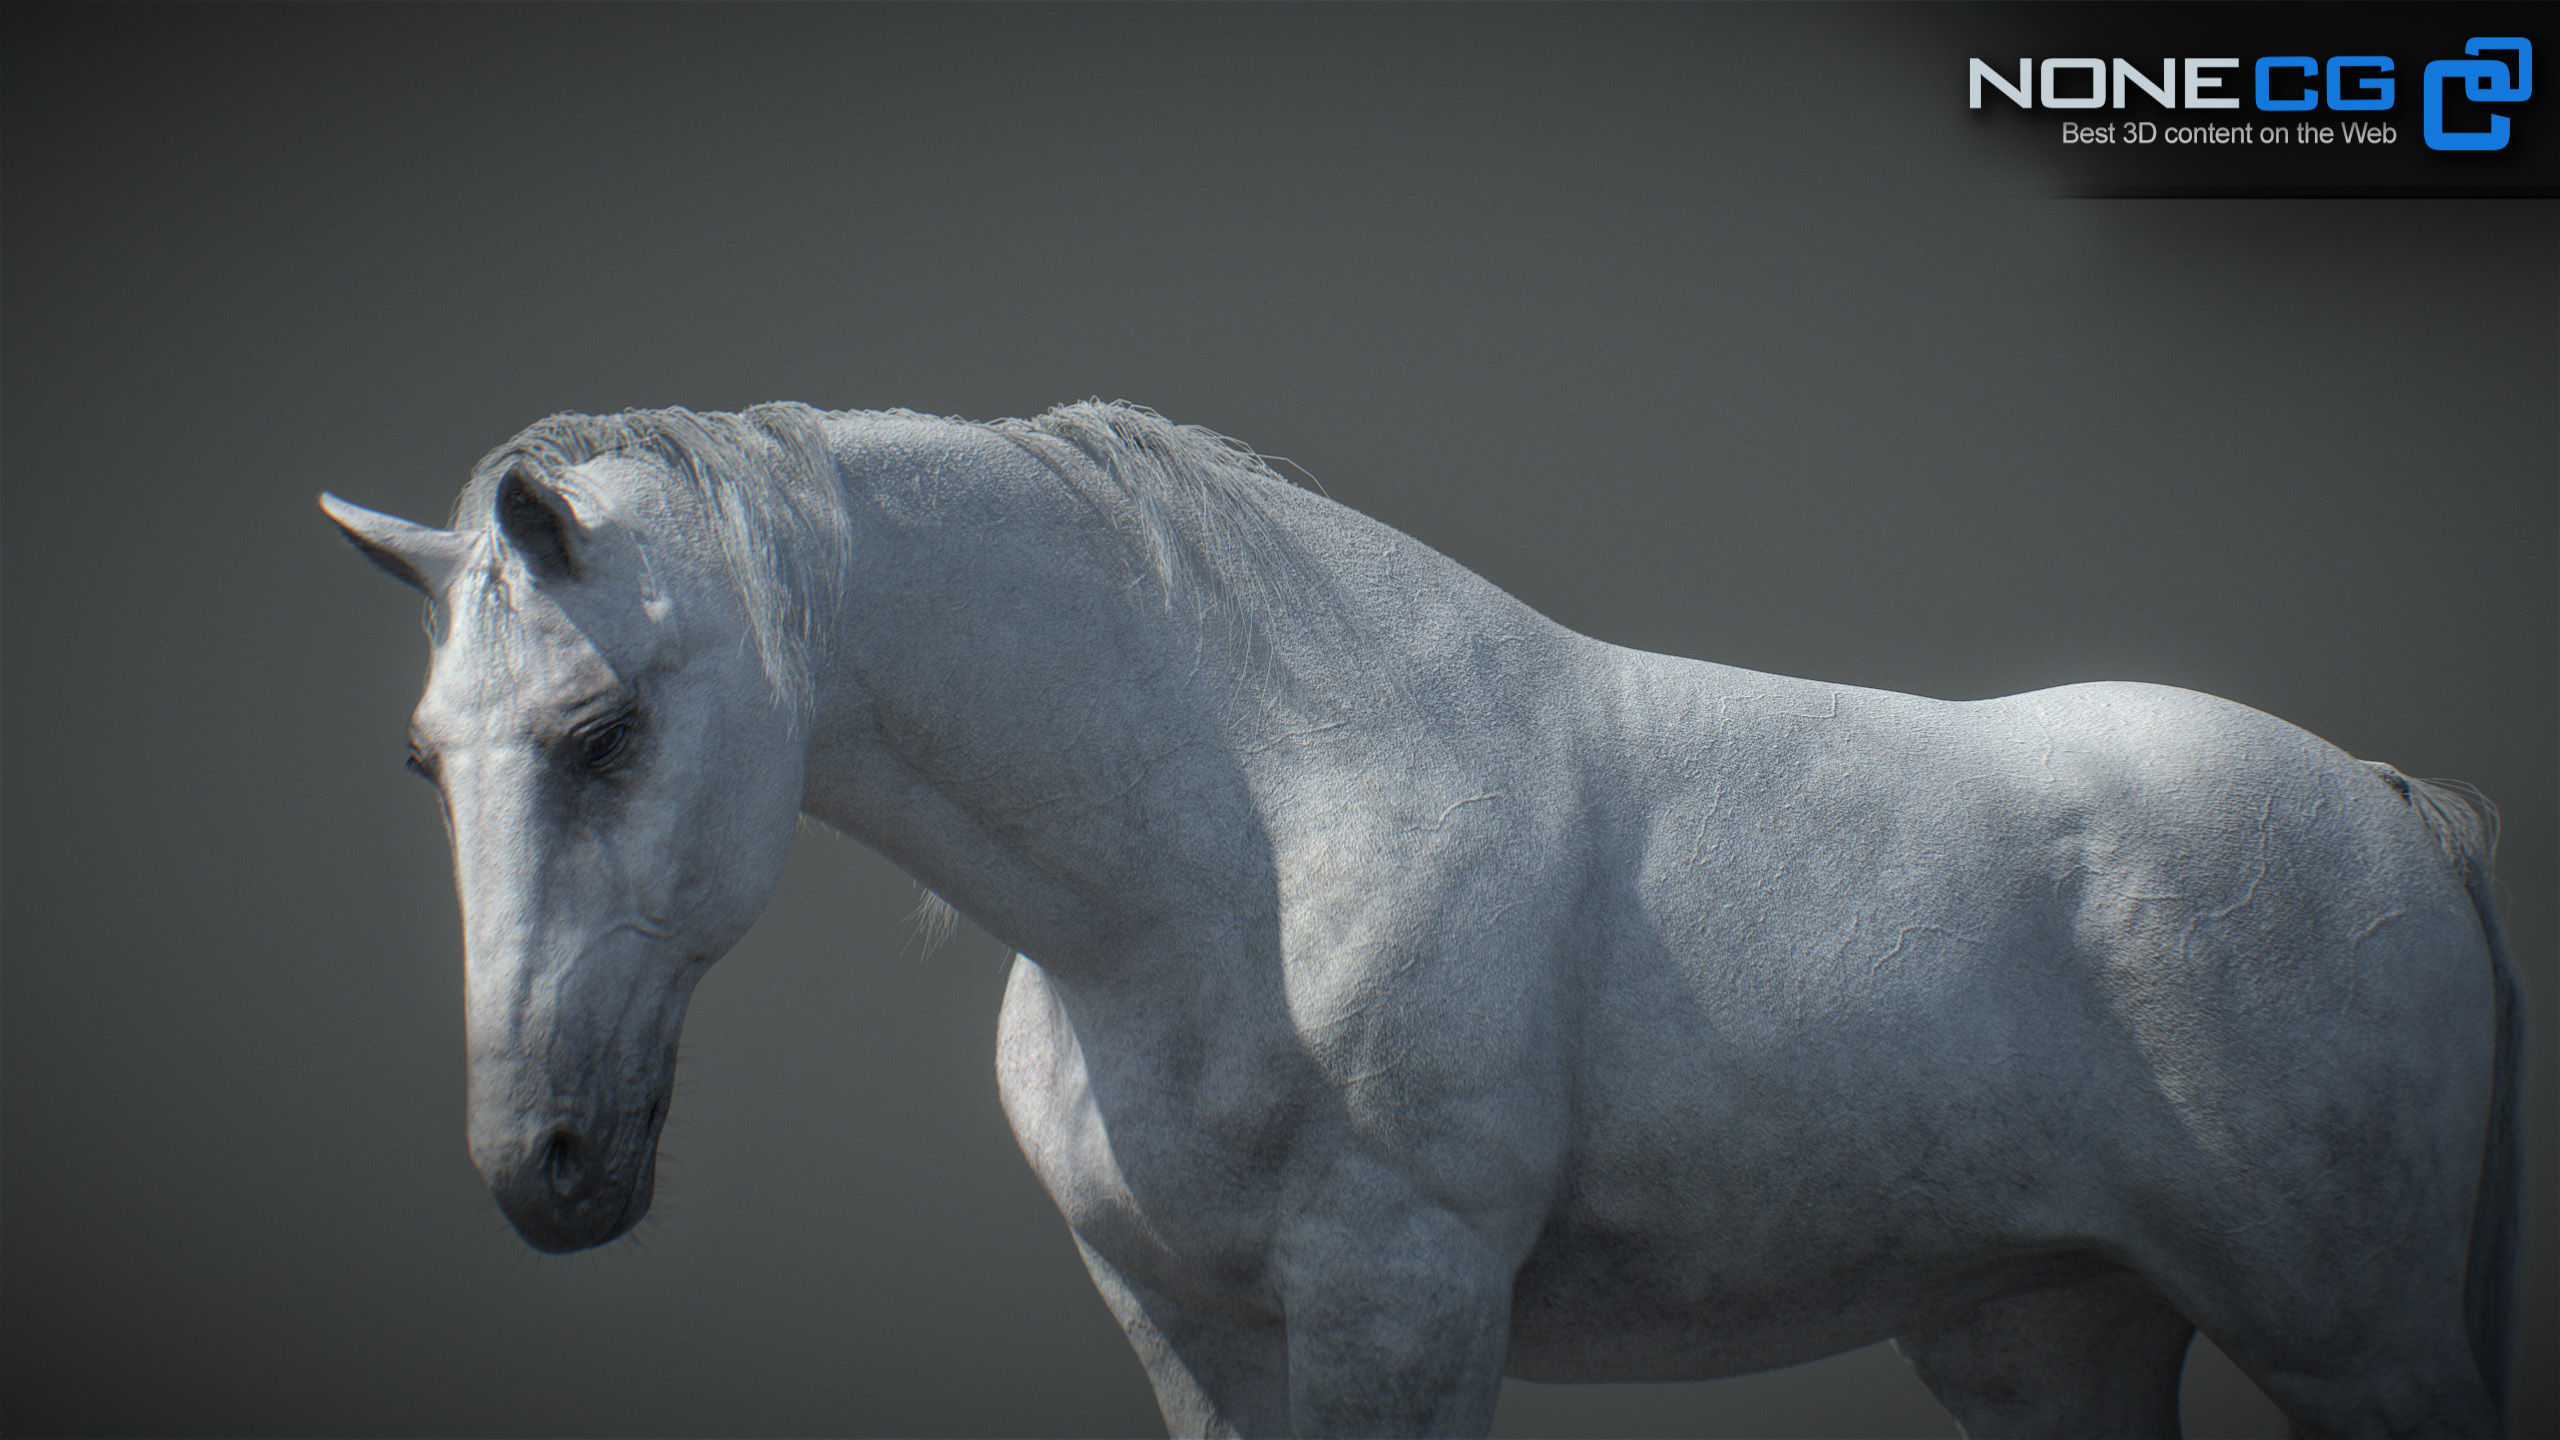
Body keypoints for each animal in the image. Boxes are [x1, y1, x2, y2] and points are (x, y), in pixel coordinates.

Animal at [322, 401, 2520, 1439]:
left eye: (600, 729)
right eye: (427, 762)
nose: (545, 1165)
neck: (1227, 862)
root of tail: (2385, 810)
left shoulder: (1408, 1305)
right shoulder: (1190, 1328)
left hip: (2351, 1347)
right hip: (2046, 1339)